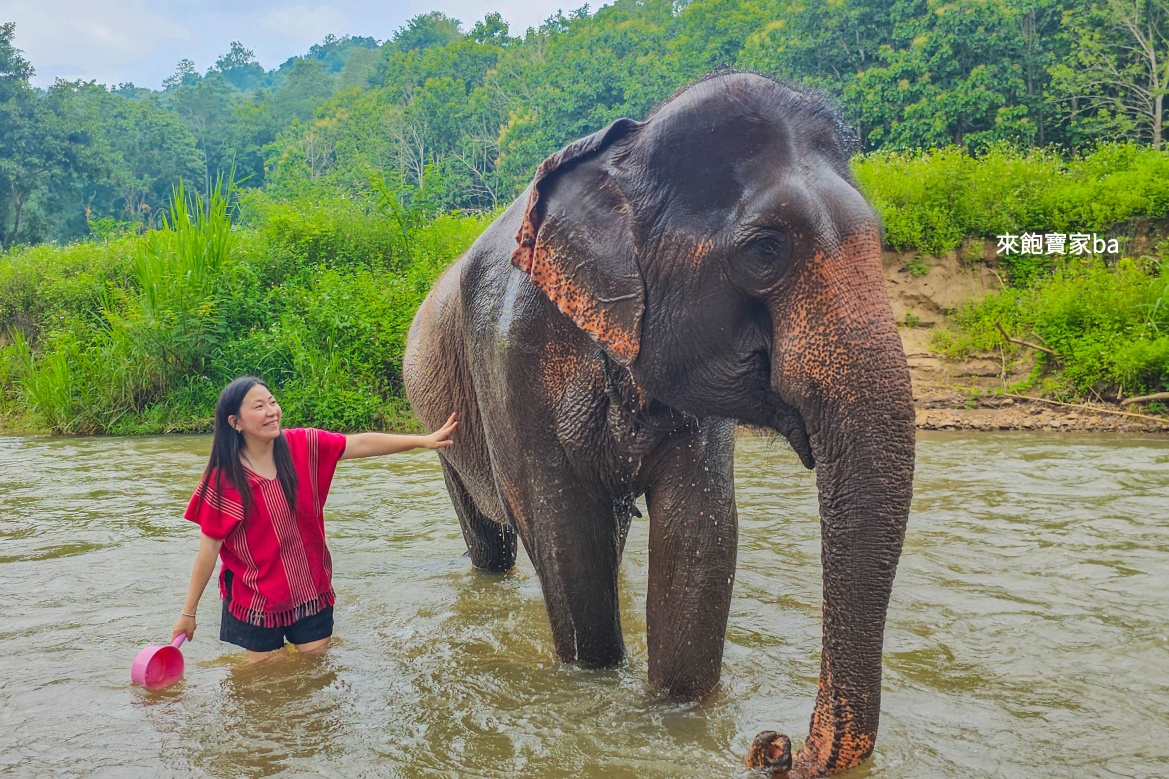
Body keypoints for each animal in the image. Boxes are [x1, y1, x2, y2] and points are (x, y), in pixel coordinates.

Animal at [403, 71, 915, 777]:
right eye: (765, 250)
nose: (774, 746)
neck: (625, 155)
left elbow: (702, 533)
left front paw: (677, 717)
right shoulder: (508, 361)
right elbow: (564, 537)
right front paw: (594, 685)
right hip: (446, 425)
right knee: (494, 541)